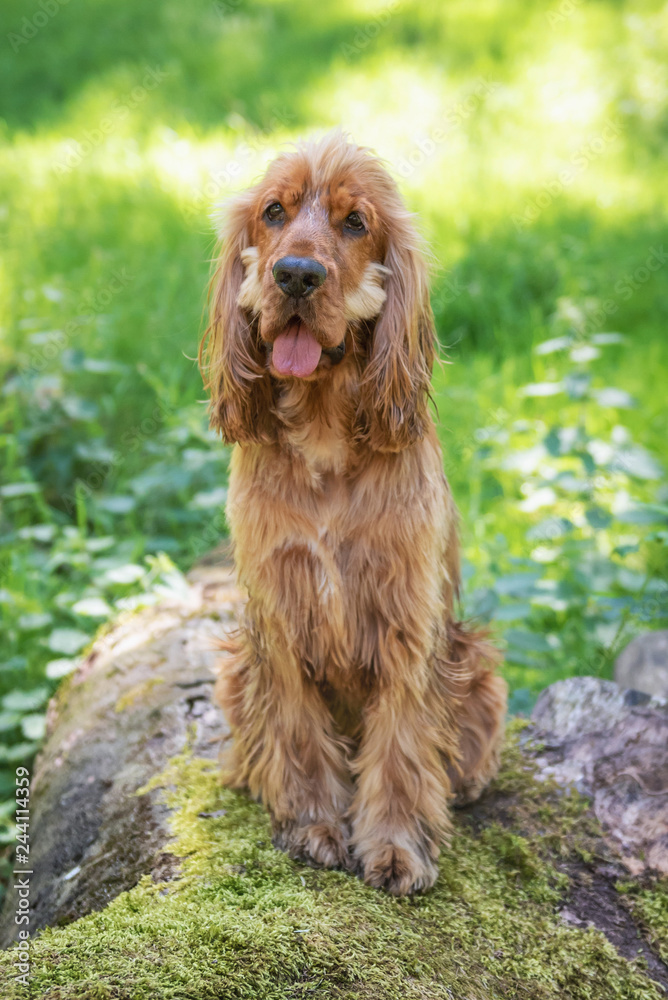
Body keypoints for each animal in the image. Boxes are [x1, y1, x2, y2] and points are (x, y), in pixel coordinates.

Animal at [200, 131, 506, 892]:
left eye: (355, 222)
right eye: (274, 212)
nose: (296, 276)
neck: (323, 432)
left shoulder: (404, 615)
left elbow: (402, 745)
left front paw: (396, 848)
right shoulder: (279, 608)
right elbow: (297, 733)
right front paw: (313, 825)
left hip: (478, 660)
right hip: (233, 665)